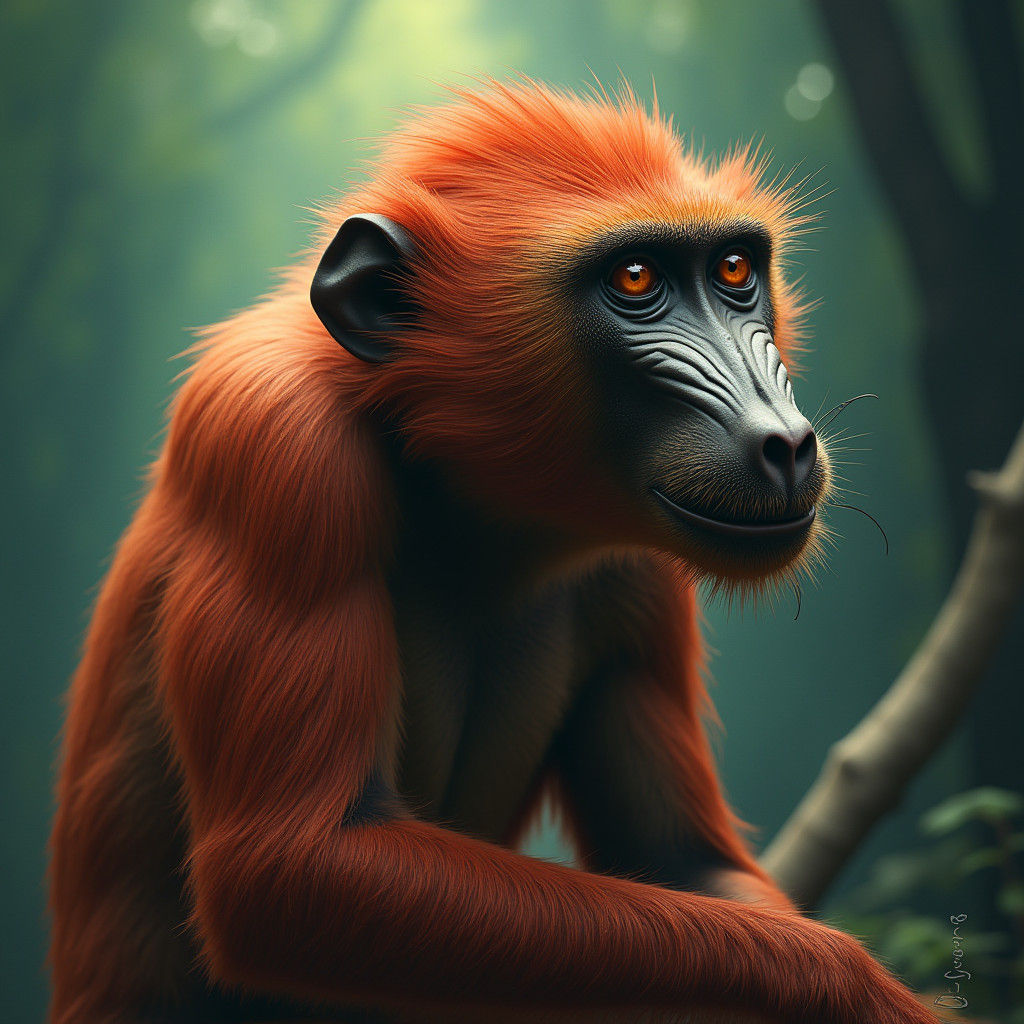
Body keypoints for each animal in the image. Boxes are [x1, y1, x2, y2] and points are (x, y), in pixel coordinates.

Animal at [48, 80, 939, 1024]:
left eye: (734, 271)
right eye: (635, 279)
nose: (786, 442)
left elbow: (683, 860)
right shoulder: (278, 448)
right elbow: (289, 865)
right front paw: (855, 990)